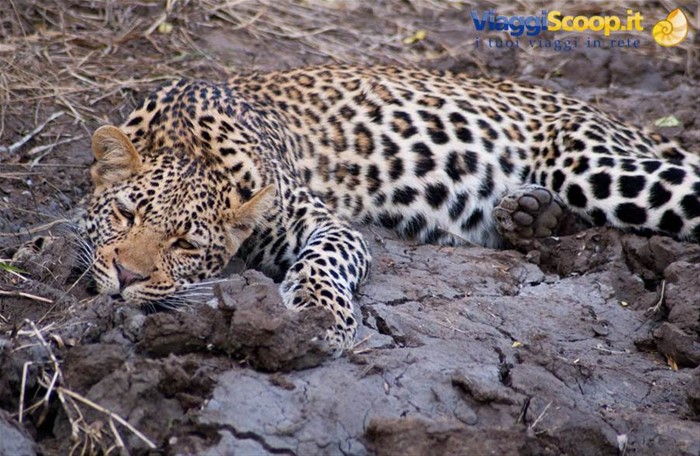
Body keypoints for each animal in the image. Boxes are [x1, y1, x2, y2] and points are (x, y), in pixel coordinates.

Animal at [81, 64, 700, 352]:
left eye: (186, 243)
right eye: (126, 214)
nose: (126, 276)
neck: (189, 141)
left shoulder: (321, 222)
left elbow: (325, 260)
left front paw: (318, 317)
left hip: (592, 166)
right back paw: (529, 214)